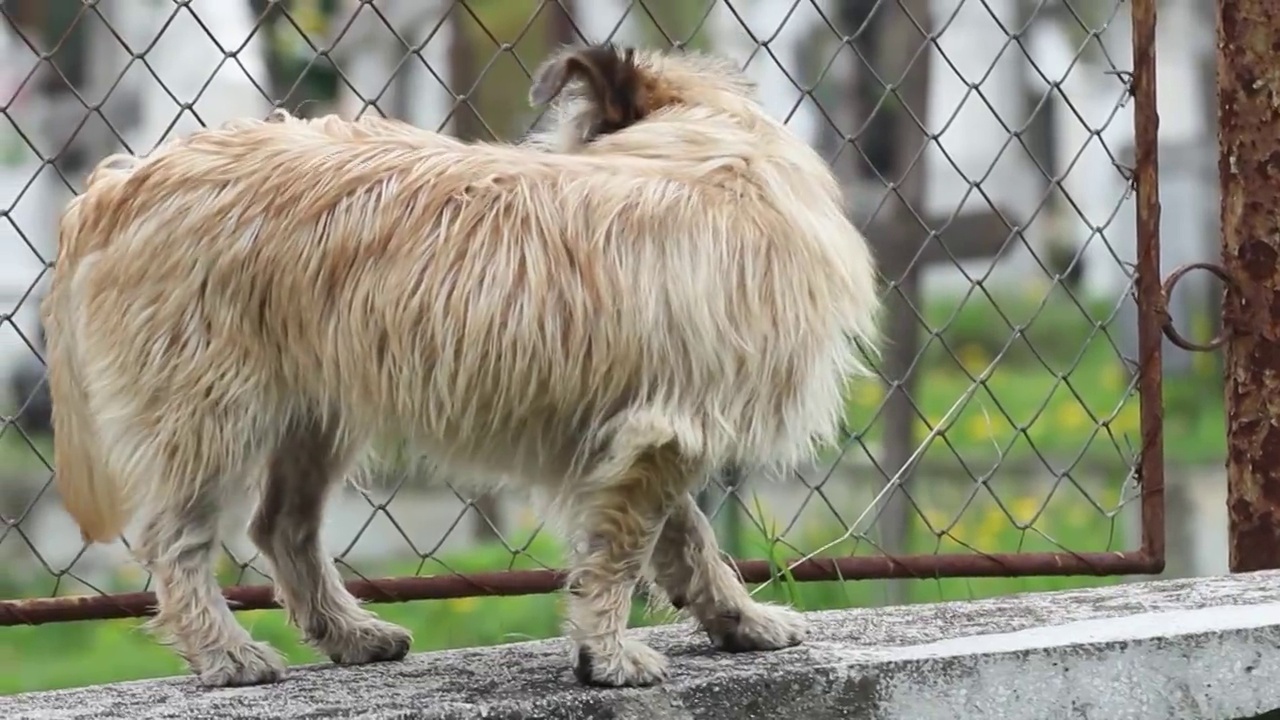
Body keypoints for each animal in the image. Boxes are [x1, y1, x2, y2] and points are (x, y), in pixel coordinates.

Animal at [40, 43, 880, 681]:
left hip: (315, 412)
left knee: (283, 525)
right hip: (207, 413)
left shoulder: (647, 432)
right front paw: (607, 654)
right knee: (176, 541)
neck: (715, 159)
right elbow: (622, 551)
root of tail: (125, 182)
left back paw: (348, 633)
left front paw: (736, 617)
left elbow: (687, 538)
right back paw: (225, 653)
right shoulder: (661, 437)